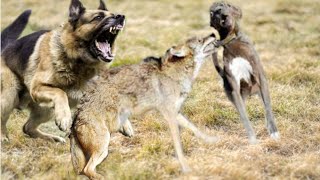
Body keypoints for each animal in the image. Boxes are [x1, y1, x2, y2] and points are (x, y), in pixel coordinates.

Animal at [0, 0, 125, 143]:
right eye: (98, 17)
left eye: (113, 15)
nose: (121, 16)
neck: (78, 62)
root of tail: (4, 50)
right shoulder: (37, 87)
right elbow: (60, 92)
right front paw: (65, 119)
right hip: (9, 95)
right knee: (3, 119)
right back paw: (3, 136)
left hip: (47, 109)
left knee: (27, 127)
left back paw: (52, 138)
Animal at [209, 1, 278, 143]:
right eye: (211, 12)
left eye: (226, 4)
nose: (218, 10)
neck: (231, 41)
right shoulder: (235, 89)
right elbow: (244, 117)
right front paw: (253, 140)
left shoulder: (261, 78)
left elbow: (268, 108)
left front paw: (274, 132)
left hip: (261, 89)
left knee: (265, 106)